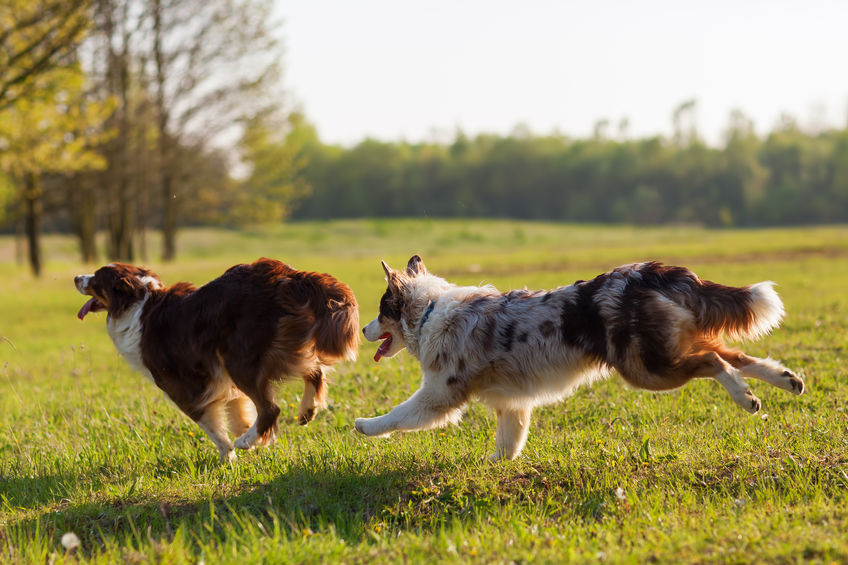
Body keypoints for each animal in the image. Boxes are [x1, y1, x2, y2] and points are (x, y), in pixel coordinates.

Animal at [73, 258, 362, 460]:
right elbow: (237, 410)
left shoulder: (184, 389)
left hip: (239, 358)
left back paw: (245, 441)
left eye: (96, 279)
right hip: (279, 347)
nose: (76, 277)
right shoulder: (221, 379)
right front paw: (254, 439)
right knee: (315, 371)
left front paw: (230, 455)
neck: (139, 303)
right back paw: (305, 411)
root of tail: (287, 275)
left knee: (271, 407)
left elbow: (212, 427)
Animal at [354, 256, 804, 458]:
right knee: (732, 353)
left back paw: (745, 397)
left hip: (647, 368)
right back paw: (785, 380)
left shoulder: (438, 396)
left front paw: (364, 425)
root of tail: (648, 271)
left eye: (380, 310)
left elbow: (398, 415)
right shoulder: (513, 404)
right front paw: (492, 465)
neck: (430, 311)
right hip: (666, 348)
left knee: (714, 361)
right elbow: (508, 445)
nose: (361, 331)